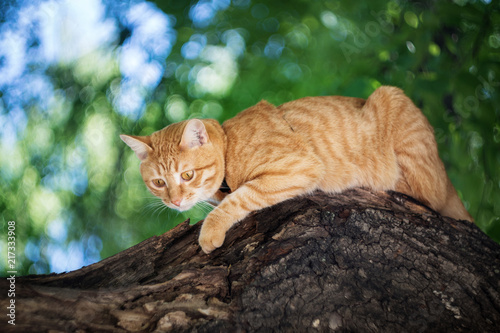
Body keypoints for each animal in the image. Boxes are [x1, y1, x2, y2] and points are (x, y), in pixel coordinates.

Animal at [121, 85, 472, 252]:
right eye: (158, 183)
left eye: (187, 175)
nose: (176, 201)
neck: (230, 146)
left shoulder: (297, 167)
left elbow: (239, 198)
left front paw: (210, 229)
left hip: (390, 98)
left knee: (426, 193)